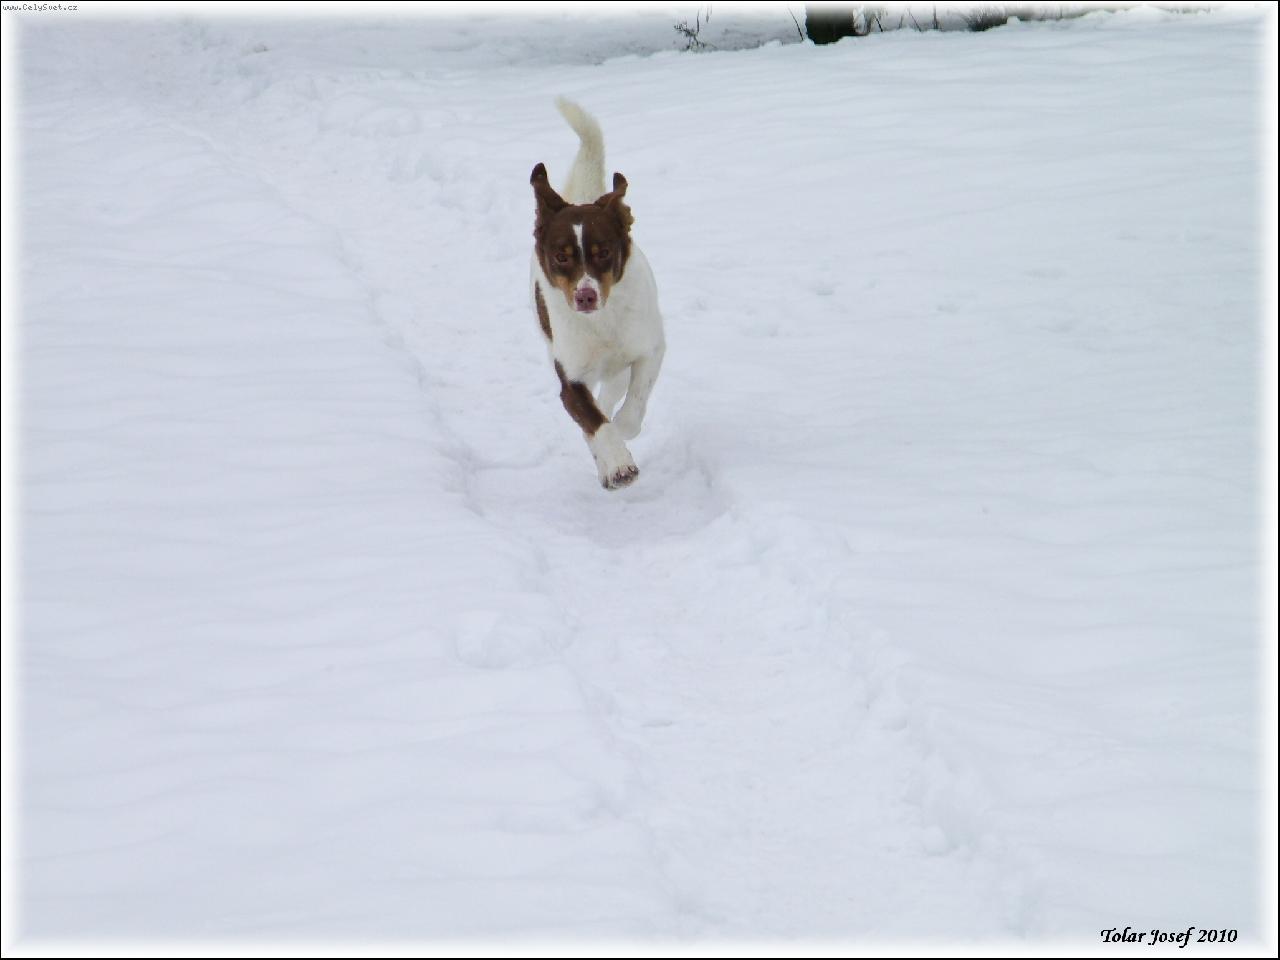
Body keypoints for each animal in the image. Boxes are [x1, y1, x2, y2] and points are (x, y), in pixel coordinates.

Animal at [530, 98, 665, 490]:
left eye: (603, 252)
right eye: (561, 256)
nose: (585, 296)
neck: (603, 322)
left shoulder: (650, 348)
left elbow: (633, 405)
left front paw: (623, 430)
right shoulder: (571, 377)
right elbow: (594, 423)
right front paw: (617, 465)